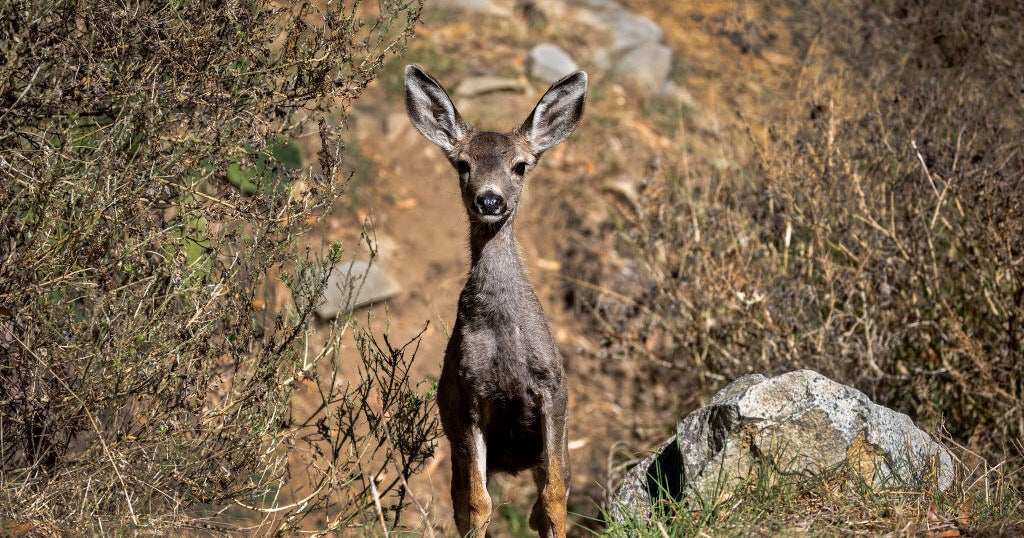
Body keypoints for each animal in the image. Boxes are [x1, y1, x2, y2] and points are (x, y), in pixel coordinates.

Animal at [404, 64, 587, 537]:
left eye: (520, 165)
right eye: (462, 164)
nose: (490, 199)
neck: (504, 333)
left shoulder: (553, 389)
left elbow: (555, 499)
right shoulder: (467, 394)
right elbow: (477, 504)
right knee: (462, 498)